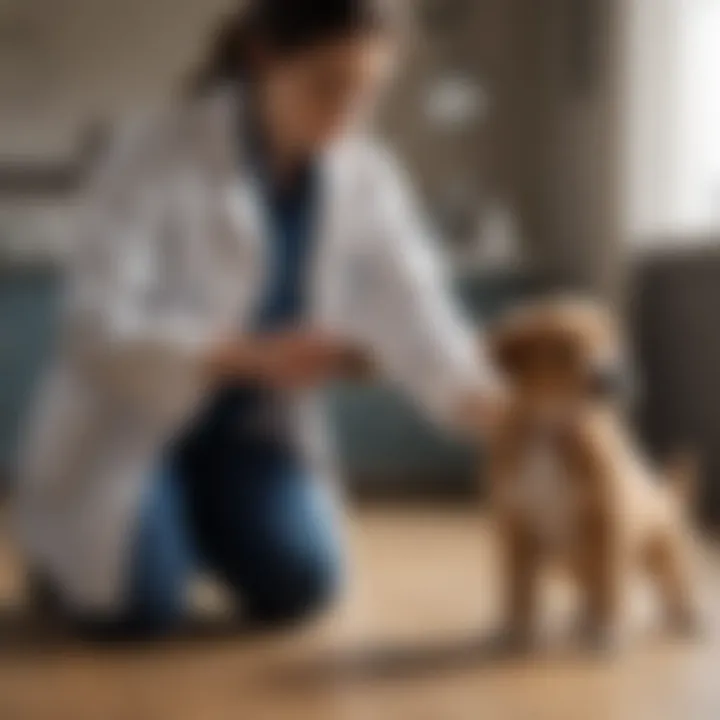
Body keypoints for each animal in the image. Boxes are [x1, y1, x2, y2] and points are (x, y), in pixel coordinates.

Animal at [486, 296, 700, 652]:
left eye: (610, 342)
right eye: (563, 349)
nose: (613, 377)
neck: (552, 427)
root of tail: (665, 498)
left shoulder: (607, 521)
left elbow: (609, 585)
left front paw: (608, 631)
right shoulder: (517, 526)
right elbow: (519, 587)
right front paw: (516, 631)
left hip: (665, 550)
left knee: (673, 583)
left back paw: (688, 616)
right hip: (568, 564)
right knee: (588, 589)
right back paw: (579, 618)